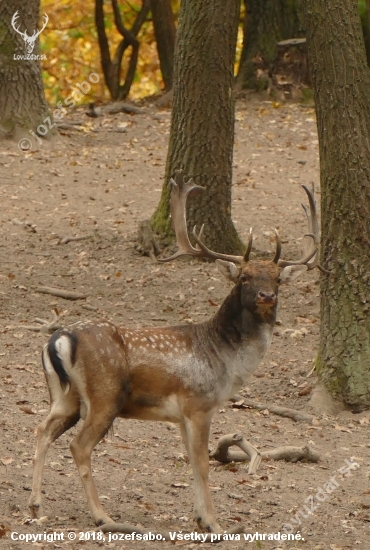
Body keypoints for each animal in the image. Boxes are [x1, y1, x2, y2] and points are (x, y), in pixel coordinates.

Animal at [28, 174, 318, 536]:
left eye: (278, 278)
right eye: (244, 277)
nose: (266, 295)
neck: (224, 359)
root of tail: (60, 337)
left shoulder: (181, 415)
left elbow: (192, 461)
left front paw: (200, 518)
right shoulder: (199, 404)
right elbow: (203, 463)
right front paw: (214, 524)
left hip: (64, 396)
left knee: (41, 430)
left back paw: (36, 505)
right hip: (105, 396)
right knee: (78, 446)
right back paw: (102, 516)